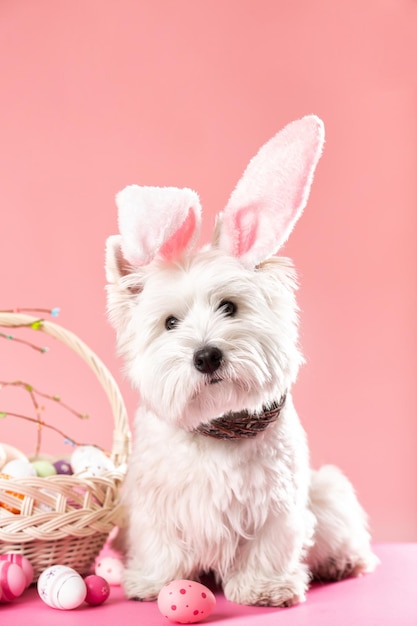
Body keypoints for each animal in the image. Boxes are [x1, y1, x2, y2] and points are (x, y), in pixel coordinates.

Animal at [105, 116, 376, 604]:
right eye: (170, 323)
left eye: (229, 307)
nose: (207, 356)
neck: (219, 426)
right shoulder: (154, 502)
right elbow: (160, 543)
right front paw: (153, 582)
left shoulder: (277, 503)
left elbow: (268, 545)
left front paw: (265, 588)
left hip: (328, 489)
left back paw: (343, 561)